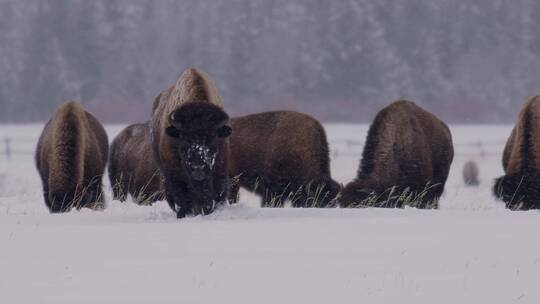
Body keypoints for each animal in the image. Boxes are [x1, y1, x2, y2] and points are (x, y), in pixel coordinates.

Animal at [151, 67, 231, 217]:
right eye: (184, 137)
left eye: (212, 137)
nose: (198, 168)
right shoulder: (174, 175)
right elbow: (182, 199)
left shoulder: (219, 172)